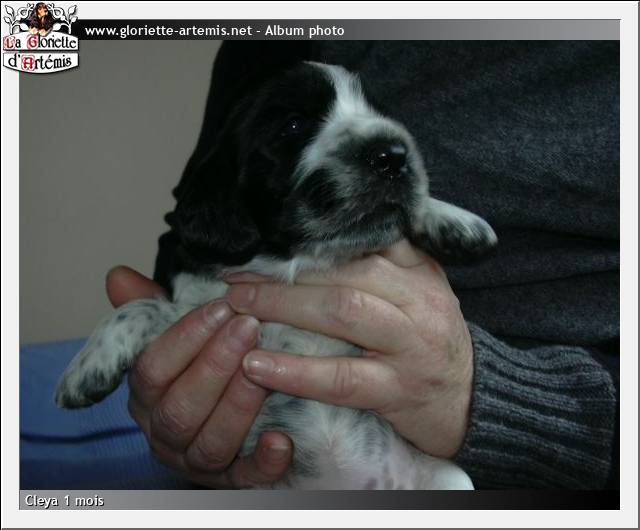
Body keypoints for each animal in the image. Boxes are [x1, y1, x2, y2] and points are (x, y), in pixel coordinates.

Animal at [55, 61, 497, 489]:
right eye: (294, 126)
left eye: (380, 113)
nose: (394, 154)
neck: (299, 263)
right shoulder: (213, 314)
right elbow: (141, 306)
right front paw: (86, 368)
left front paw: (455, 221)